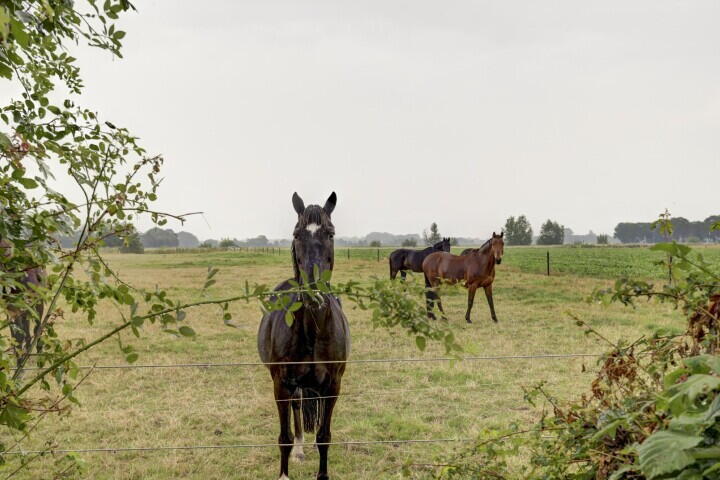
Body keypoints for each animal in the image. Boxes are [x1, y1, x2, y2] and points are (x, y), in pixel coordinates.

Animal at [258, 191, 350, 480]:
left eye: (330, 233)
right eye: (297, 234)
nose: (313, 294)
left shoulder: (332, 386)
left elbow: (324, 437)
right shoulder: (281, 384)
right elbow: (284, 437)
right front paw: (284, 473)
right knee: (297, 406)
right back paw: (299, 450)